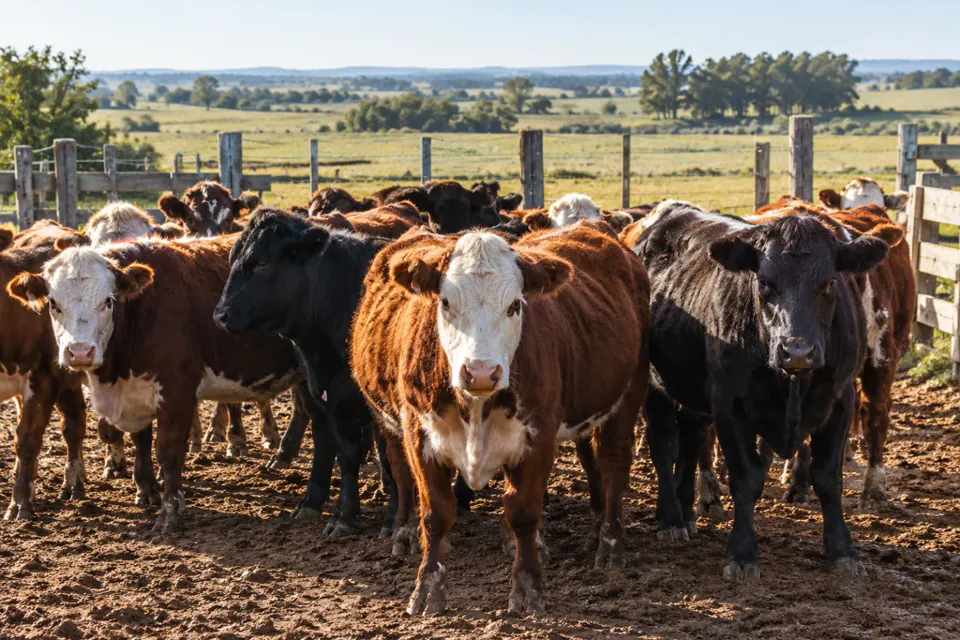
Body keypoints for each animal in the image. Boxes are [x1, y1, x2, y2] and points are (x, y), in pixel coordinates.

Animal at [7, 236, 303, 532]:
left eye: (108, 301)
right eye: (53, 303)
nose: (80, 352)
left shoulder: (176, 390)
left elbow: (168, 450)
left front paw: (169, 514)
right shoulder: (134, 388)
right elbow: (141, 439)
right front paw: (148, 491)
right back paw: (284, 457)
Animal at [351, 222, 650, 614]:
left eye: (515, 305)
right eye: (445, 302)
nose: (480, 371)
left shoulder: (537, 436)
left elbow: (522, 511)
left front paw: (528, 589)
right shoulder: (419, 433)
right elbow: (435, 513)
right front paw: (427, 589)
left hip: (628, 393)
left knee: (613, 464)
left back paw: (610, 546)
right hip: (390, 424)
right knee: (400, 471)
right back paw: (404, 534)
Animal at [629, 203, 888, 581]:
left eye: (828, 283)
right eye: (765, 283)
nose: (797, 351)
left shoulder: (840, 399)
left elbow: (828, 478)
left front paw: (844, 552)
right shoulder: (729, 403)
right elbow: (746, 478)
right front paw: (742, 554)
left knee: (691, 438)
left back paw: (687, 513)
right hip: (653, 381)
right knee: (663, 442)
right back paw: (671, 519)